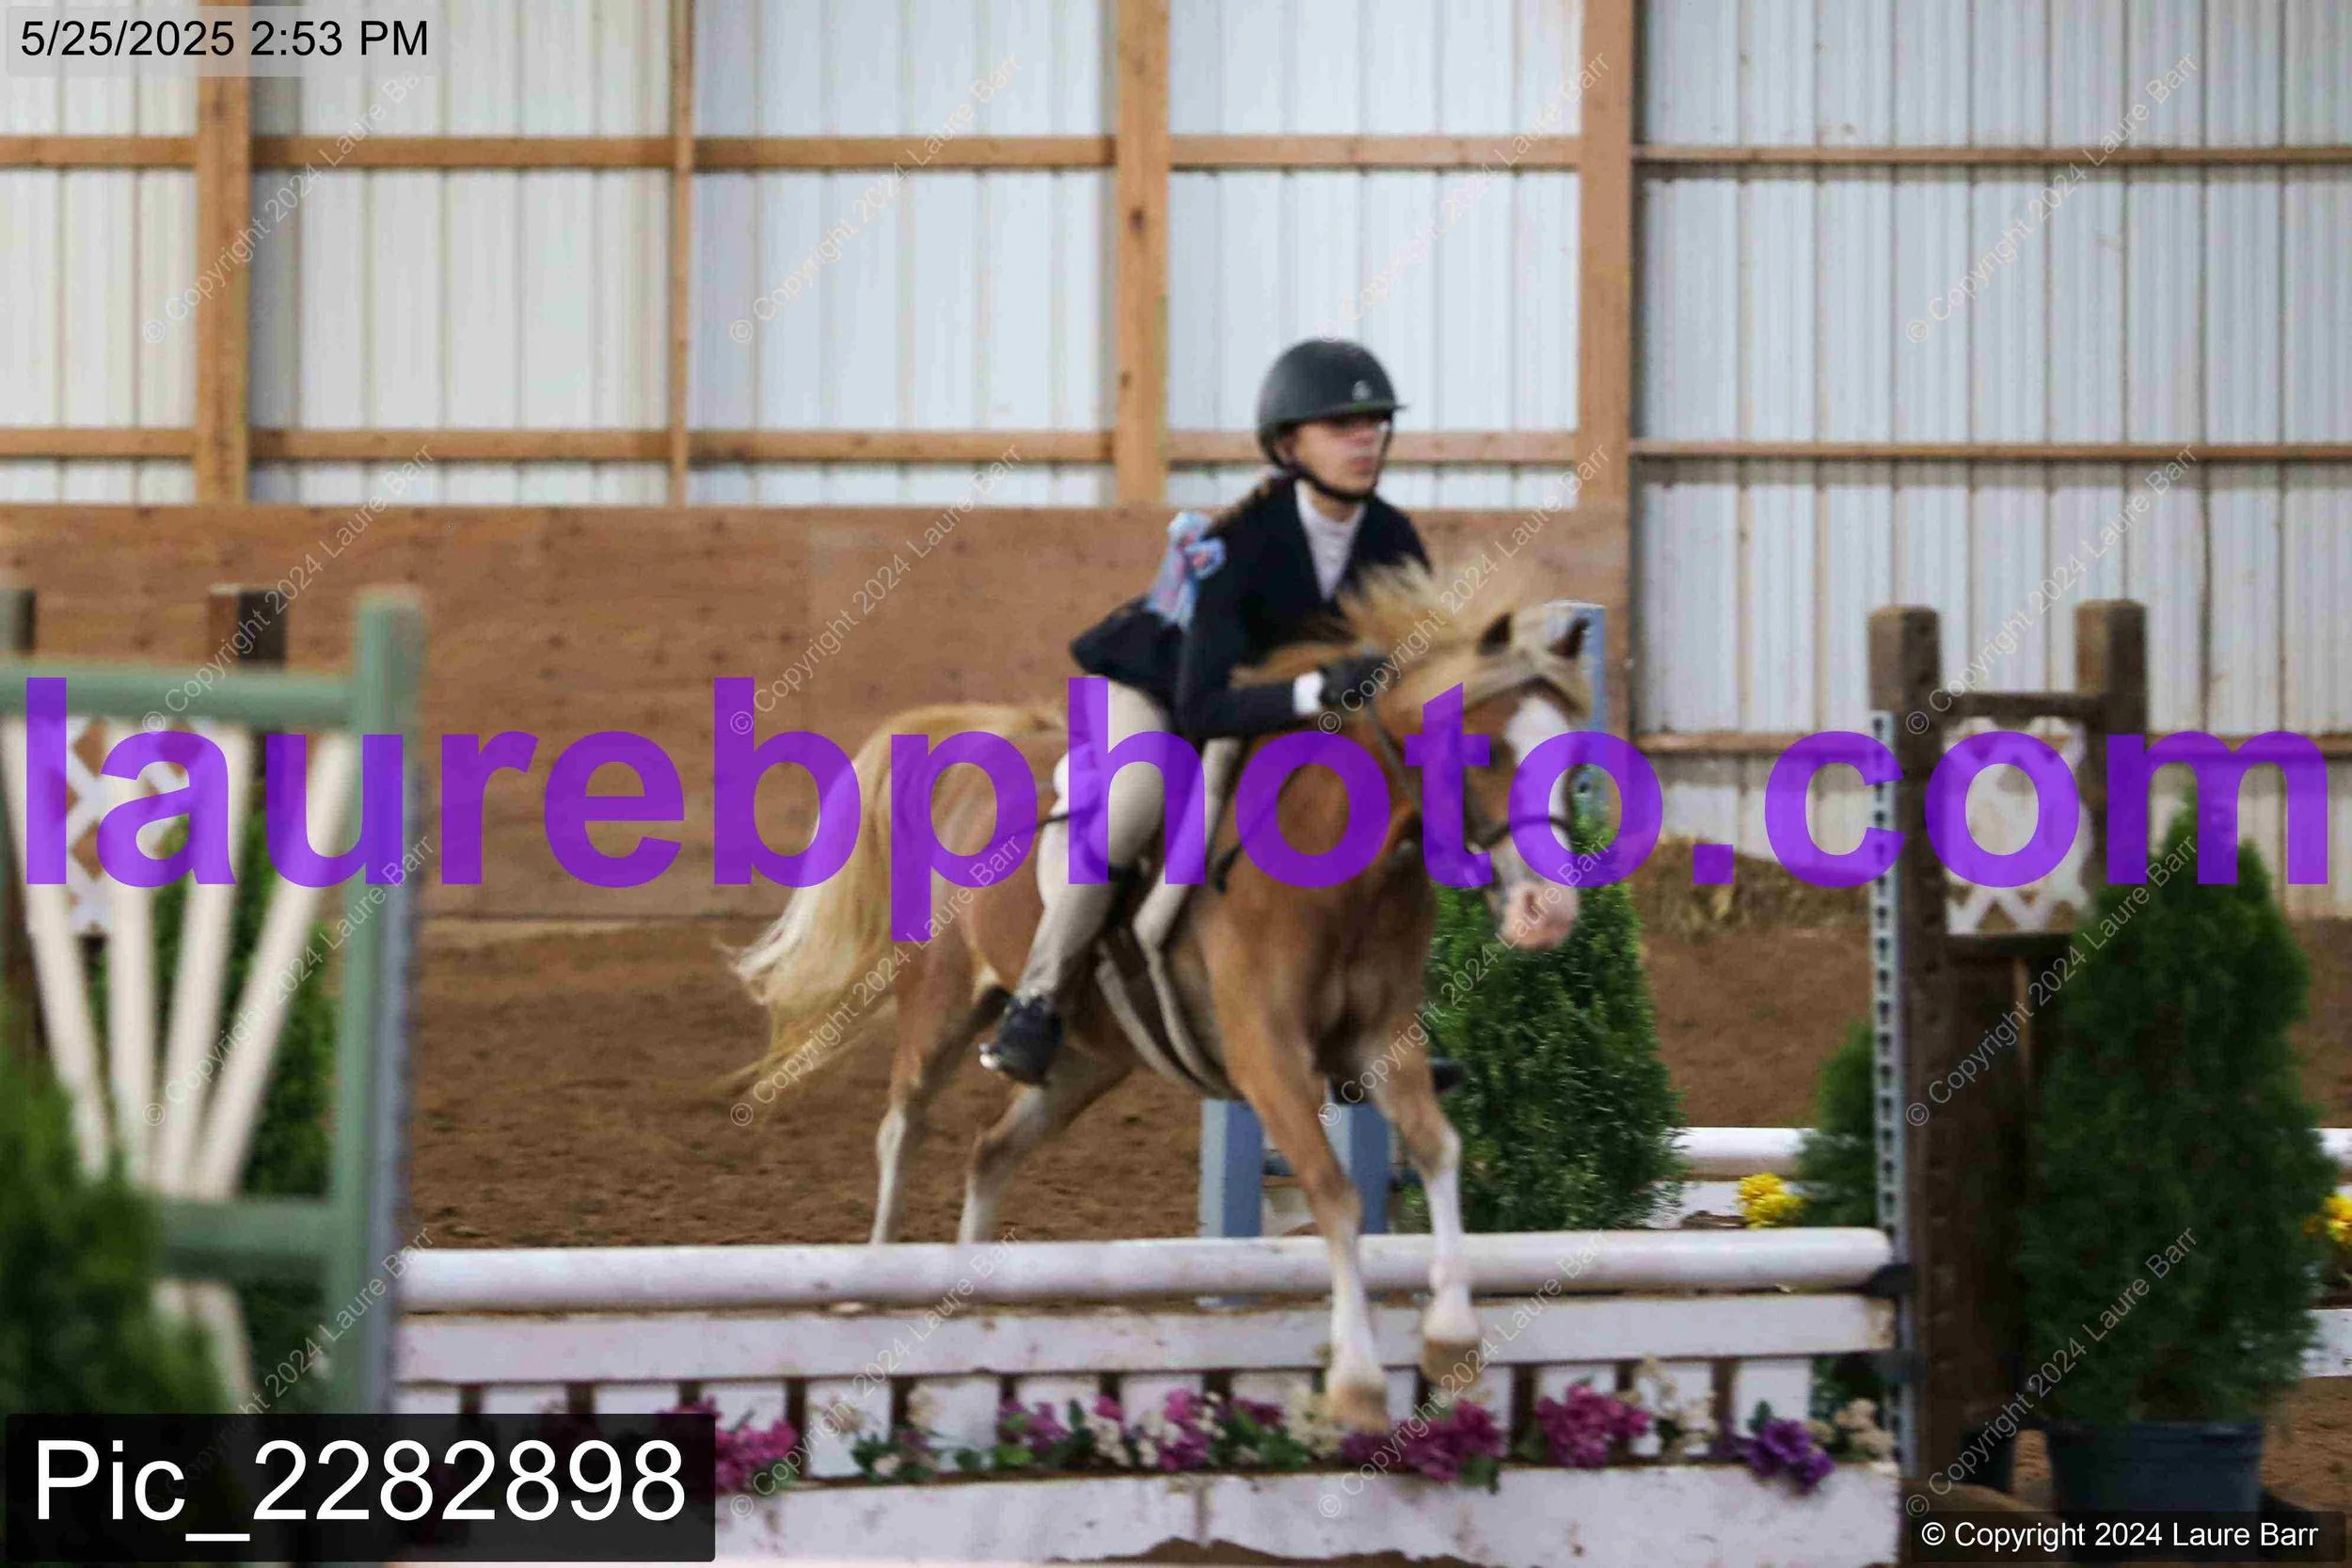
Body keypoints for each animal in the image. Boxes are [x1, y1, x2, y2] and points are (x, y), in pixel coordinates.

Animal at [730, 563, 1593, 1433]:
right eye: (1485, 749)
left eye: (1574, 757)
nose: (1548, 912)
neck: (1347, 859)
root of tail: (982, 743)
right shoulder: (1266, 1054)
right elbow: (1334, 1189)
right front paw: (1356, 1380)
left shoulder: (1380, 1040)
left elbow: (1437, 1147)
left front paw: (1451, 1335)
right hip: (943, 1005)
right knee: (903, 1127)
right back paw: (872, 1284)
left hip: (1087, 1057)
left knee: (991, 1149)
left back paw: (961, 1296)